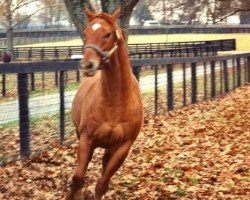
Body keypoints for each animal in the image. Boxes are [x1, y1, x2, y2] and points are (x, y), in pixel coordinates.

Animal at [66, 7, 144, 200]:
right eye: (85, 32)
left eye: (108, 34)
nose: (87, 65)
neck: (115, 102)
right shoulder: (86, 139)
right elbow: (78, 178)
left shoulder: (123, 147)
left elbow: (102, 184)